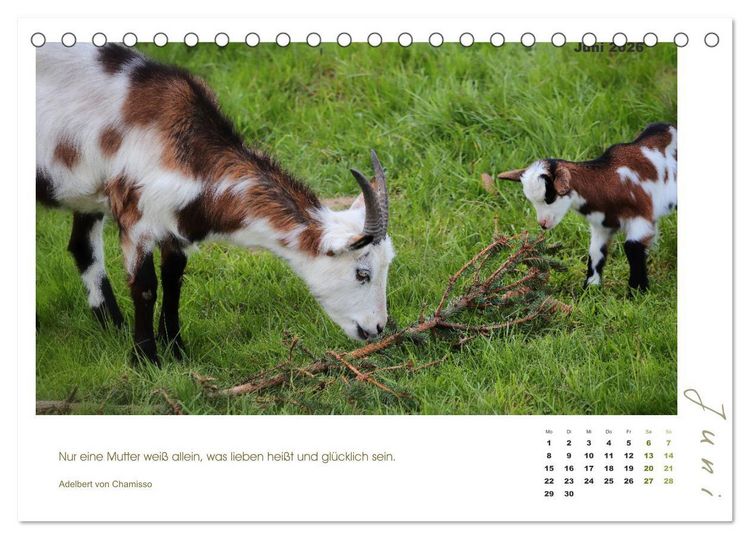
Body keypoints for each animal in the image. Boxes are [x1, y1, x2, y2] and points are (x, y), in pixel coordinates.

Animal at [36, 44, 395, 365]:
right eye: (362, 273)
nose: (377, 328)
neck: (176, 145)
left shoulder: (173, 225)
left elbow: (174, 280)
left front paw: (177, 351)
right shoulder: (136, 218)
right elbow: (146, 287)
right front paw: (146, 360)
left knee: (82, 246)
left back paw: (112, 327)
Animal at [496, 123, 677, 291]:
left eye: (550, 197)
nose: (543, 224)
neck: (610, 179)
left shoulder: (642, 218)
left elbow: (633, 248)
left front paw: (637, 290)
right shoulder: (602, 226)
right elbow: (595, 252)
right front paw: (590, 288)